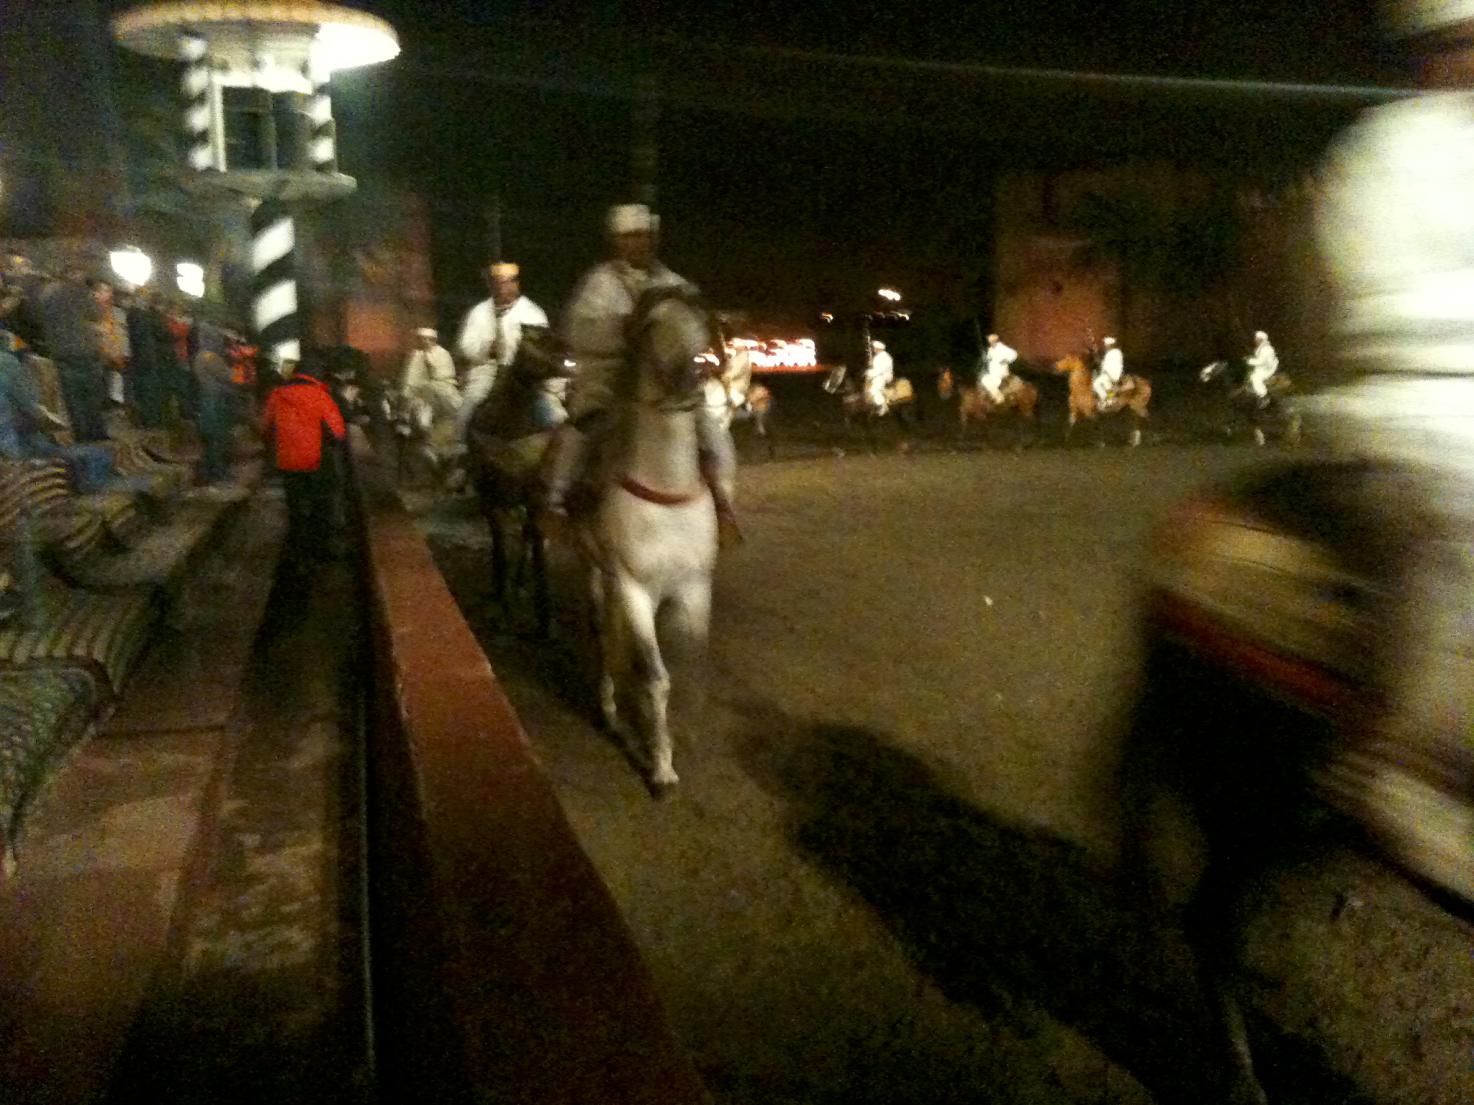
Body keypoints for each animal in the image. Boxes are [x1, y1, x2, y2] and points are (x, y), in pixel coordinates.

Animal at [465, 326, 568, 634]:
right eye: (535, 337)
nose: (569, 358)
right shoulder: (490, 498)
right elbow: (501, 550)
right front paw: (501, 605)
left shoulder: (535, 497)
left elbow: (538, 550)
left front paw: (545, 618)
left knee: (526, 537)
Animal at [580, 284, 723, 791]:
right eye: (651, 325)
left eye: (700, 324)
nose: (693, 378)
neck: (666, 493)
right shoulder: (633, 588)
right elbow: (654, 675)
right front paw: (660, 766)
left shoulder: (695, 588)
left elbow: (691, 664)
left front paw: (689, 734)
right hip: (596, 571)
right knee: (602, 634)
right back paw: (608, 708)